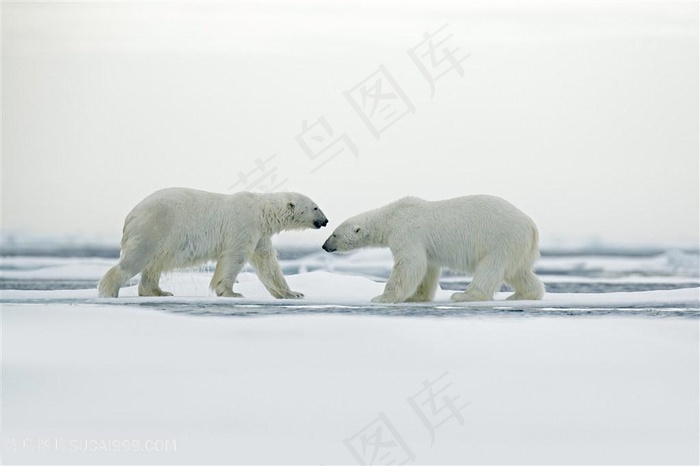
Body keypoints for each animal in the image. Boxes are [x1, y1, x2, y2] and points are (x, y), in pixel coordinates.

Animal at [98, 188, 328, 298]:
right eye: (315, 207)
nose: (325, 221)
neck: (262, 211)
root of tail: (131, 214)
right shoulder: (243, 225)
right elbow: (235, 257)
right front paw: (231, 292)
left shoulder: (260, 234)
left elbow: (268, 264)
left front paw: (293, 293)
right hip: (155, 225)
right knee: (137, 258)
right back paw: (109, 291)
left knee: (154, 265)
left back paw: (159, 291)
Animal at [320, 195, 544, 304]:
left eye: (335, 234)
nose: (324, 245)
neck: (391, 217)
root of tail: (532, 227)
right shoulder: (424, 245)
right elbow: (427, 268)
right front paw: (416, 297)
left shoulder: (406, 231)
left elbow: (410, 264)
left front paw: (382, 298)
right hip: (517, 247)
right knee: (518, 272)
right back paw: (523, 294)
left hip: (500, 239)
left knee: (490, 268)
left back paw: (464, 295)